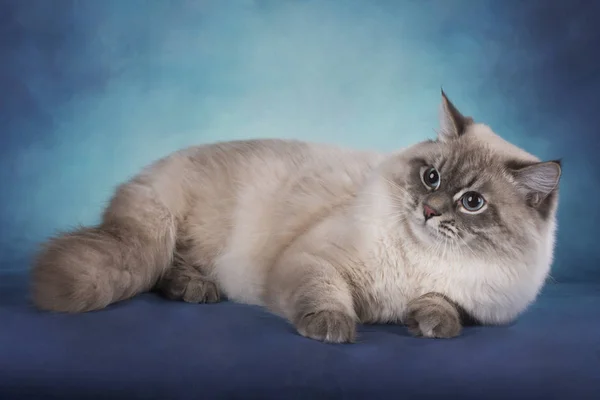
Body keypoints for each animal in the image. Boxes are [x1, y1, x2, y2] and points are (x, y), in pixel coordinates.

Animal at [29, 92, 564, 342]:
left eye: (472, 202)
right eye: (431, 177)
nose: (430, 211)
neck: (424, 258)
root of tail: (152, 169)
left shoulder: (479, 305)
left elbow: (445, 306)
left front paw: (431, 323)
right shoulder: (315, 262)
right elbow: (324, 296)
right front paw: (332, 327)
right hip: (172, 232)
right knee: (162, 268)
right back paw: (198, 290)